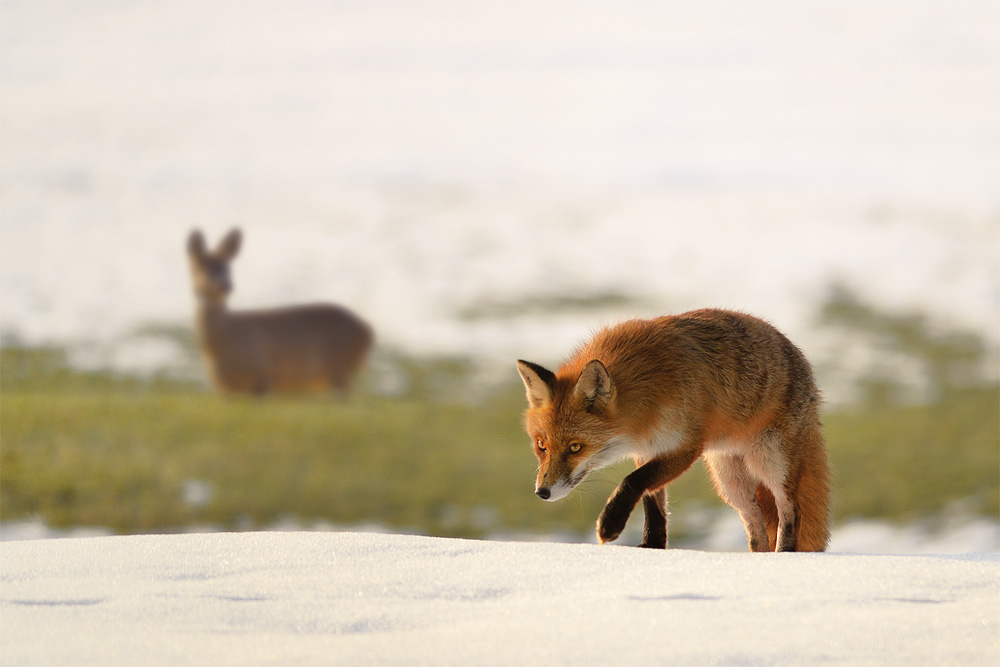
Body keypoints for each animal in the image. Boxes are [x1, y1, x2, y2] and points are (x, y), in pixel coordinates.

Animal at [186, 230, 374, 396]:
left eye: (228, 268)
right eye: (201, 266)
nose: (225, 285)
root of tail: (367, 329)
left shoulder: (262, 374)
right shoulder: (224, 390)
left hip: (339, 368)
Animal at [520, 310, 832, 552]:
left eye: (575, 447)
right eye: (541, 446)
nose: (542, 492)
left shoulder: (686, 446)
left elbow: (633, 481)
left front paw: (611, 523)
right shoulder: (648, 449)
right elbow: (652, 500)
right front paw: (652, 546)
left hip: (771, 463)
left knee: (790, 509)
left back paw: (784, 555)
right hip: (732, 484)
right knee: (755, 525)